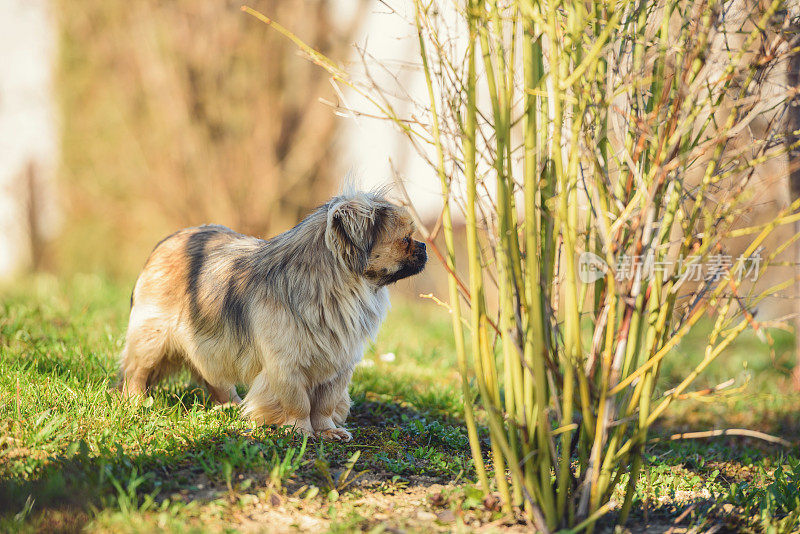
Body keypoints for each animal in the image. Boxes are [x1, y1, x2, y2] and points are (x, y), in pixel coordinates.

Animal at [119, 191, 428, 442]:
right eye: (404, 240)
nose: (424, 246)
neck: (339, 289)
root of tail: (166, 242)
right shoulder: (286, 366)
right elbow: (298, 403)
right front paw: (300, 431)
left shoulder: (337, 368)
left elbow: (325, 405)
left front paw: (327, 431)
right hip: (152, 340)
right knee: (136, 371)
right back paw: (136, 402)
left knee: (213, 378)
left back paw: (231, 405)